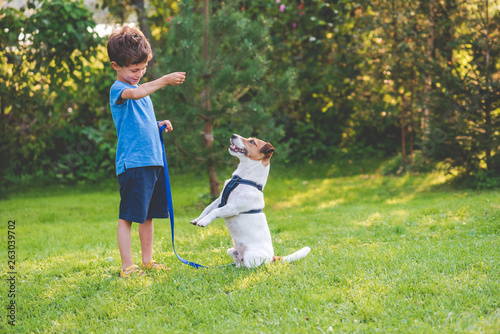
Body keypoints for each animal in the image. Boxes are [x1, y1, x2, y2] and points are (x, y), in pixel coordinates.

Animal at [190, 134, 310, 268]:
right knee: (237, 260)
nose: (233, 135)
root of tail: (273, 257)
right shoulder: (220, 200)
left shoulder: (232, 207)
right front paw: (197, 219)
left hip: (250, 256)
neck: (242, 178)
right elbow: (207, 209)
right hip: (231, 250)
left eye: (252, 142)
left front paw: (203, 222)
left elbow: (215, 212)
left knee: (250, 265)